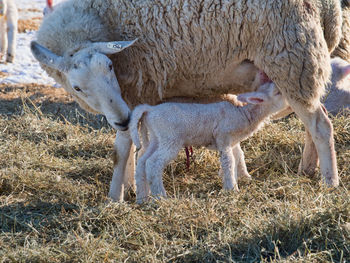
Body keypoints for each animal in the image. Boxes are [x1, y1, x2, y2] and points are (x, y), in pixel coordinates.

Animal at [130, 83, 288, 203]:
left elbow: (238, 156)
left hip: (157, 138)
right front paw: (232, 189)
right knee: (153, 163)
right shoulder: (223, 136)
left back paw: (142, 197)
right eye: (278, 92)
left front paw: (243, 177)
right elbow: (229, 161)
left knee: (142, 161)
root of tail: (149, 109)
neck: (243, 113)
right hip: (170, 138)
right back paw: (160, 196)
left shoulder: (232, 141)